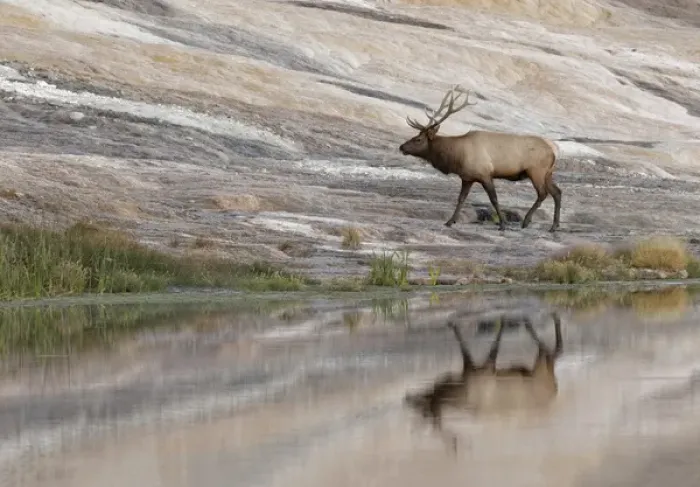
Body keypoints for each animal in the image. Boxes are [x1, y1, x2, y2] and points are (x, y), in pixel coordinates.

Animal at [398, 85, 562, 232]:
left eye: (418, 139)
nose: (401, 147)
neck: (456, 156)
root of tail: (554, 149)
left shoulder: (485, 174)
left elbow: (494, 199)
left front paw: (502, 224)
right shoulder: (467, 177)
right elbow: (461, 199)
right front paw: (450, 221)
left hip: (536, 171)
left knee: (543, 193)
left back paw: (527, 221)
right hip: (548, 173)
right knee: (557, 192)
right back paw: (554, 226)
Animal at [404, 310, 563, 452]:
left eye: (425, 408)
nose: (407, 397)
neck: (460, 390)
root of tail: (554, 391)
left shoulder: (484, 369)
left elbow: (491, 345)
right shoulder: (474, 368)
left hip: (540, 368)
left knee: (554, 350)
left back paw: (541, 318)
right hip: (534, 370)